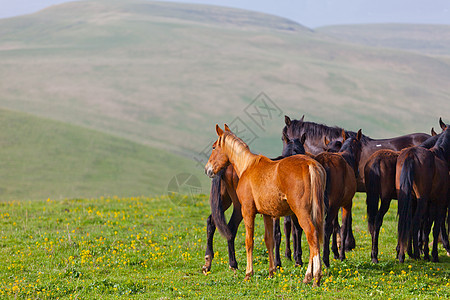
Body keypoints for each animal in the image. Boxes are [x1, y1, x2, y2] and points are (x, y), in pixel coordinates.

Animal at [206, 123, 326, 286]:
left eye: (213, 147)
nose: (208, 169)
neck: (247, 166)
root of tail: (310, 164)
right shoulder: (267, 214)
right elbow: (269, 240)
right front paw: (271, 272)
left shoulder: (247, 211)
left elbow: (249, 241)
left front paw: (248, 273)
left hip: (301, 213)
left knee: (312, 236)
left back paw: (314, 277)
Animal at [398, 120, 450, 262]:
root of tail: (411, 154)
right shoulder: (440, 202)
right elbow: (436, 227)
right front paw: (434, 255)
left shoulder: (431, 203)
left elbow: (427, 227)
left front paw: (426, 253)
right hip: (421, 200)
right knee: (415, 222)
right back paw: (415, 253)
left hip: (407, 199)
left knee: (405, 222)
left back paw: (403, 254)